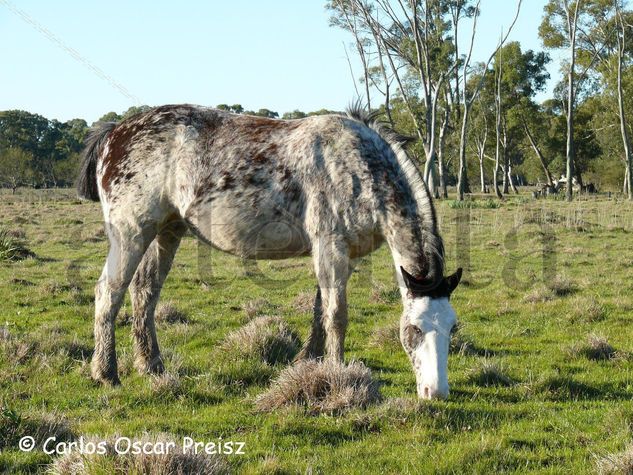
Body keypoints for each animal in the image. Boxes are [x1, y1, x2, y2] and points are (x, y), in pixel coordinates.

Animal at [80, 103, 464, 398]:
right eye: (414, 329)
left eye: (452, 329)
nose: (436, 393)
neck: (358, 165)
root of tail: (115, 132)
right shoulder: (330, 247)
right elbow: (336, 315)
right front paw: (339, 373)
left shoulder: (346, 256)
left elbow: (319, 312)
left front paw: (309, 362)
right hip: (131, 233)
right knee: (109, 293)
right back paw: (106, 373)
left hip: (167, 231)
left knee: (144, 293)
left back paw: (152, 367)